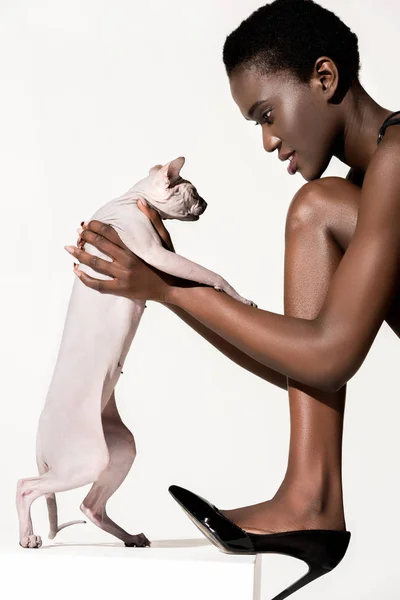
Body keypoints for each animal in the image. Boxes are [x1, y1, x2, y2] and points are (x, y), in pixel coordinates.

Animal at [16, 156, 256, 548]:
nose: (207, 204)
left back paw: (129, 537)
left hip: (118, 448)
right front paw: (239, 297)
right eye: (194, 192)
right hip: (85, 459)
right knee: (26, 486)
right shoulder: (154, 252)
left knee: (89, 506)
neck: (130, 198)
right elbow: (209, 274)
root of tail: (39, 435)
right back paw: (27, 537)